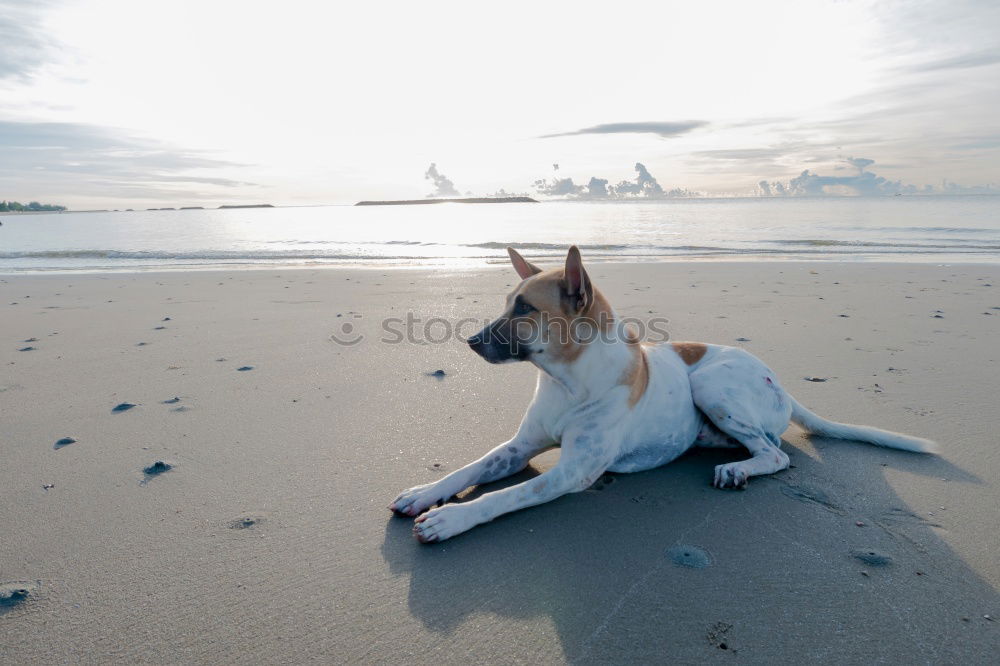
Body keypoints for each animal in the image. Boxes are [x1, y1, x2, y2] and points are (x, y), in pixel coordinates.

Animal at [390, 244, 936, 540]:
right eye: (508, 303)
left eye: (524, 308)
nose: (470, 341)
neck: (567, 380)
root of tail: (778, 380)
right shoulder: (518, 447)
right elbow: (472, 467)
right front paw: (426, 493)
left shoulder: (570, 473)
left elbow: (504, 497)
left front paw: (451, 519)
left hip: (711, 383)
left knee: (776, 453)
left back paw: (740, 468)